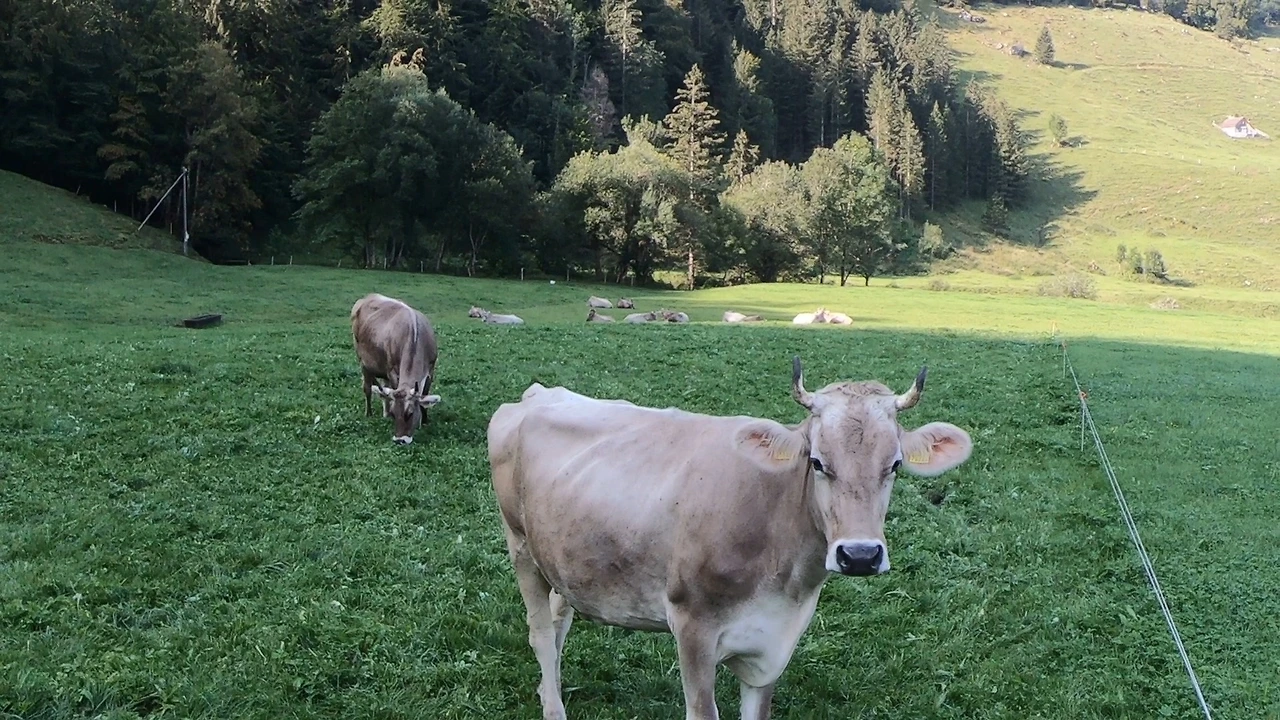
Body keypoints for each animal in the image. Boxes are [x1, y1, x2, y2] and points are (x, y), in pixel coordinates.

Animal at [350, 293, 441, 445]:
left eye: (410, 413)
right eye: (395, 414)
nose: (400, 440)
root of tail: (368, 296)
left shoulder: (431, 369)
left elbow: (425, 394)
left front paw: (425, 420)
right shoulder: (392, 370)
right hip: (363, 361)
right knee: (367, 388)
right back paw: (369, 413)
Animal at [487, 357, 973, 720]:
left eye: (895, 465)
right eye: (817, 462)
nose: (859, 555)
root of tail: (538, 393)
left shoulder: (775, 640)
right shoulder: (692, 627)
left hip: (565, 557)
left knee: (558, 619)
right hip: (521, 546)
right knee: (540, 632)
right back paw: (553, 707)